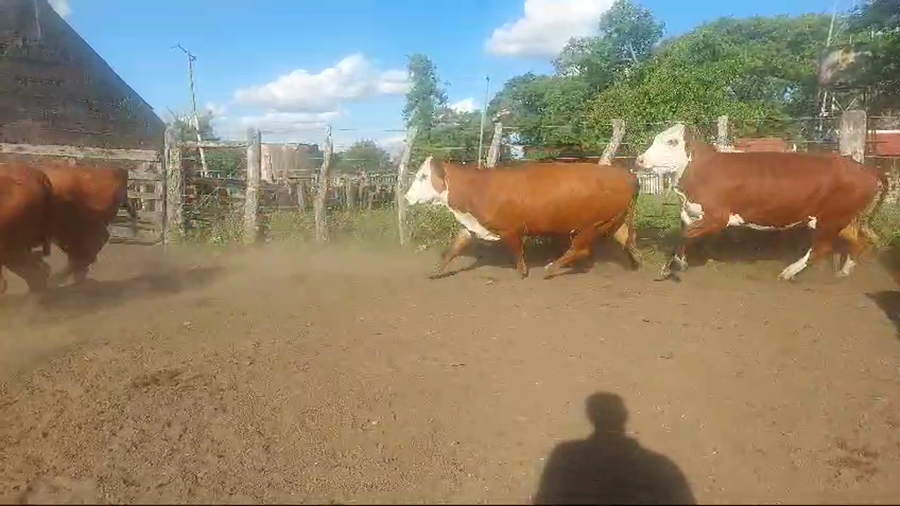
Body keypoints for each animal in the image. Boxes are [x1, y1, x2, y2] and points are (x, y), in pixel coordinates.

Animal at [404, 156, 642, 279]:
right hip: (613, 219)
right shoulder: (472, 225)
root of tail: (627, 175)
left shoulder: (510, 229)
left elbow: (516, 249)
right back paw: (636, 261)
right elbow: (455, 248)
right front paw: (436, 271)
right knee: (626, 238)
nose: (406, 197)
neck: (477, 187)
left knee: (580, 249)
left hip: (591, 224)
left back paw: (550, 268)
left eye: (423, 176)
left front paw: (522, 271)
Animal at [634, 123, 889, 282]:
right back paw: (843, 272)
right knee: (857, 241)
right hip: (842, 217)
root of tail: (864, 168)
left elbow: (684, 235)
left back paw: (789, 272)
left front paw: (670, 267)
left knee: (822, 248)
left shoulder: (718, 216)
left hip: (832, 219)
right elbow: (685, 235)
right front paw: (680, 262)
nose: (640, 159)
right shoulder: (691, 212)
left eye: (672, 141)